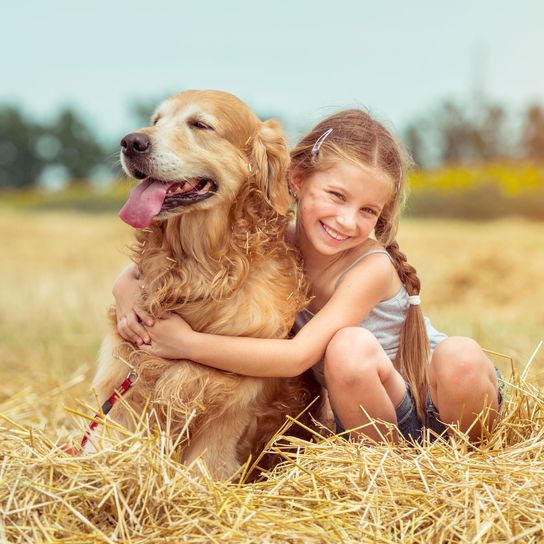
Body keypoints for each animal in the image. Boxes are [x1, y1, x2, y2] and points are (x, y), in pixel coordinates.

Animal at [88, 91, 318, 478]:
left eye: (200, 124)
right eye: (156, 119)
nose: (130, 142)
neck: (197, 274)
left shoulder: (234, 403)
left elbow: (203, 467)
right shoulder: (125, 381)